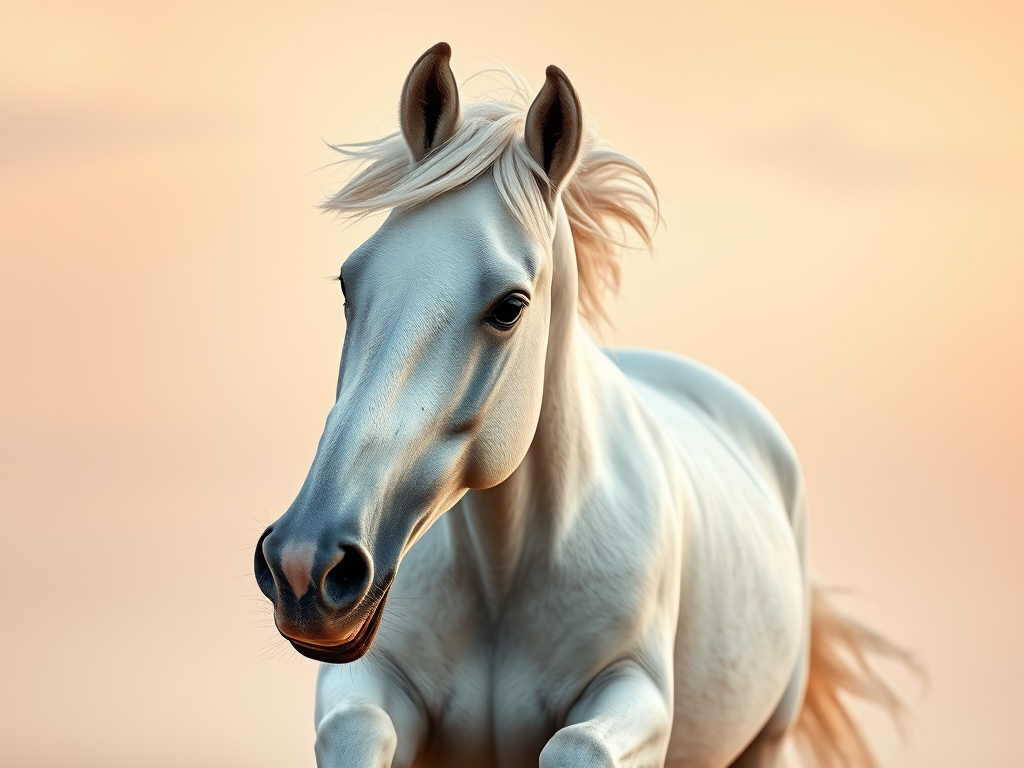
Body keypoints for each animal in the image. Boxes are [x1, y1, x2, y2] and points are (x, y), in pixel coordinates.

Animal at [254, 43, 909, 768]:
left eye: (510, 306)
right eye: (350, 281)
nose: (306, 564)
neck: (504, 574)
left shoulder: (635, 692)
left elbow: (579, 746)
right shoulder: (369, 682)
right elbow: (355, 729)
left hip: (765, 738)